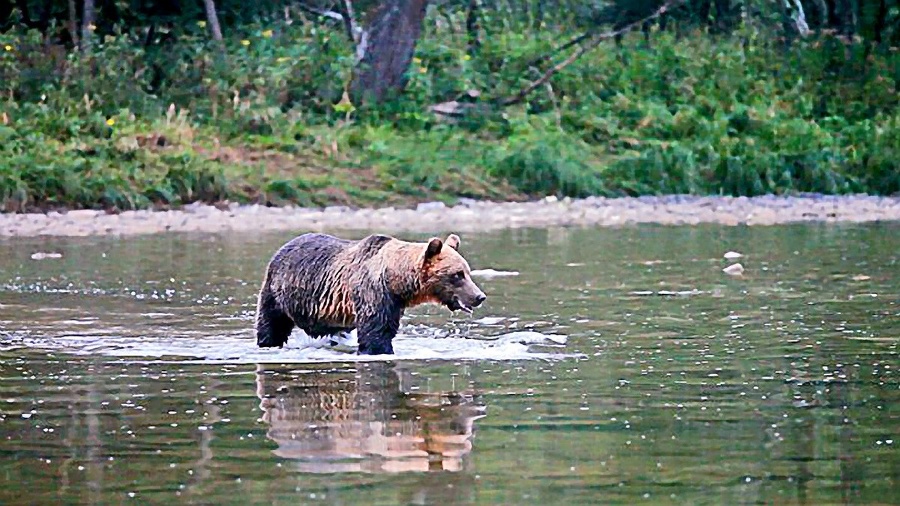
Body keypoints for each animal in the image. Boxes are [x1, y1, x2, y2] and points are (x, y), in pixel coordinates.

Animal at [256, 233, 488, 356]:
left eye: (468, 272)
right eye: (458, 274)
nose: (479, 297)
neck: (396, 280)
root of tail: (283, 248)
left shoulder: (394, 302)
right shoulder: (374, 292)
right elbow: (376, 330)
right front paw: (380, 349)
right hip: (278, 292)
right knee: (271, 323)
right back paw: (268, 342)